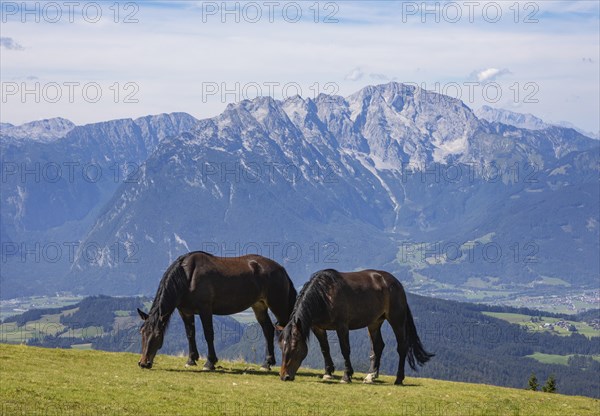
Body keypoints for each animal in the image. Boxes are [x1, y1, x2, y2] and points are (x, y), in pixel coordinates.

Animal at [135, 250, 296, 370]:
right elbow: (190, 334)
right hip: (259, 306)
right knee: (268, 330)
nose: (143, 363)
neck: (188, 276)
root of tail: (281, 270)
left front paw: (210, 362)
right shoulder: (185, 312)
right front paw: (191, 360)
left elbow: (208, 334)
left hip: (278, 305)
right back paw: (267, 363)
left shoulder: (205, 310)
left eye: (157, 335)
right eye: (142, 332)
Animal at [278, 270, 434, 384]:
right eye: (281, 346)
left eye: (295, 347)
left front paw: (346, 376)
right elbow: (324, 349)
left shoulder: (342, 326)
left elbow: (345, 350)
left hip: (397, 320)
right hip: (374, 322)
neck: (324, 296)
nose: (284, 376)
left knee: (402, 347)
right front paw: (328, 373)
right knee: (378, 346)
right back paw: (370, 376)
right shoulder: (318, 328)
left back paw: (398, 379)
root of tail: (396, 283)